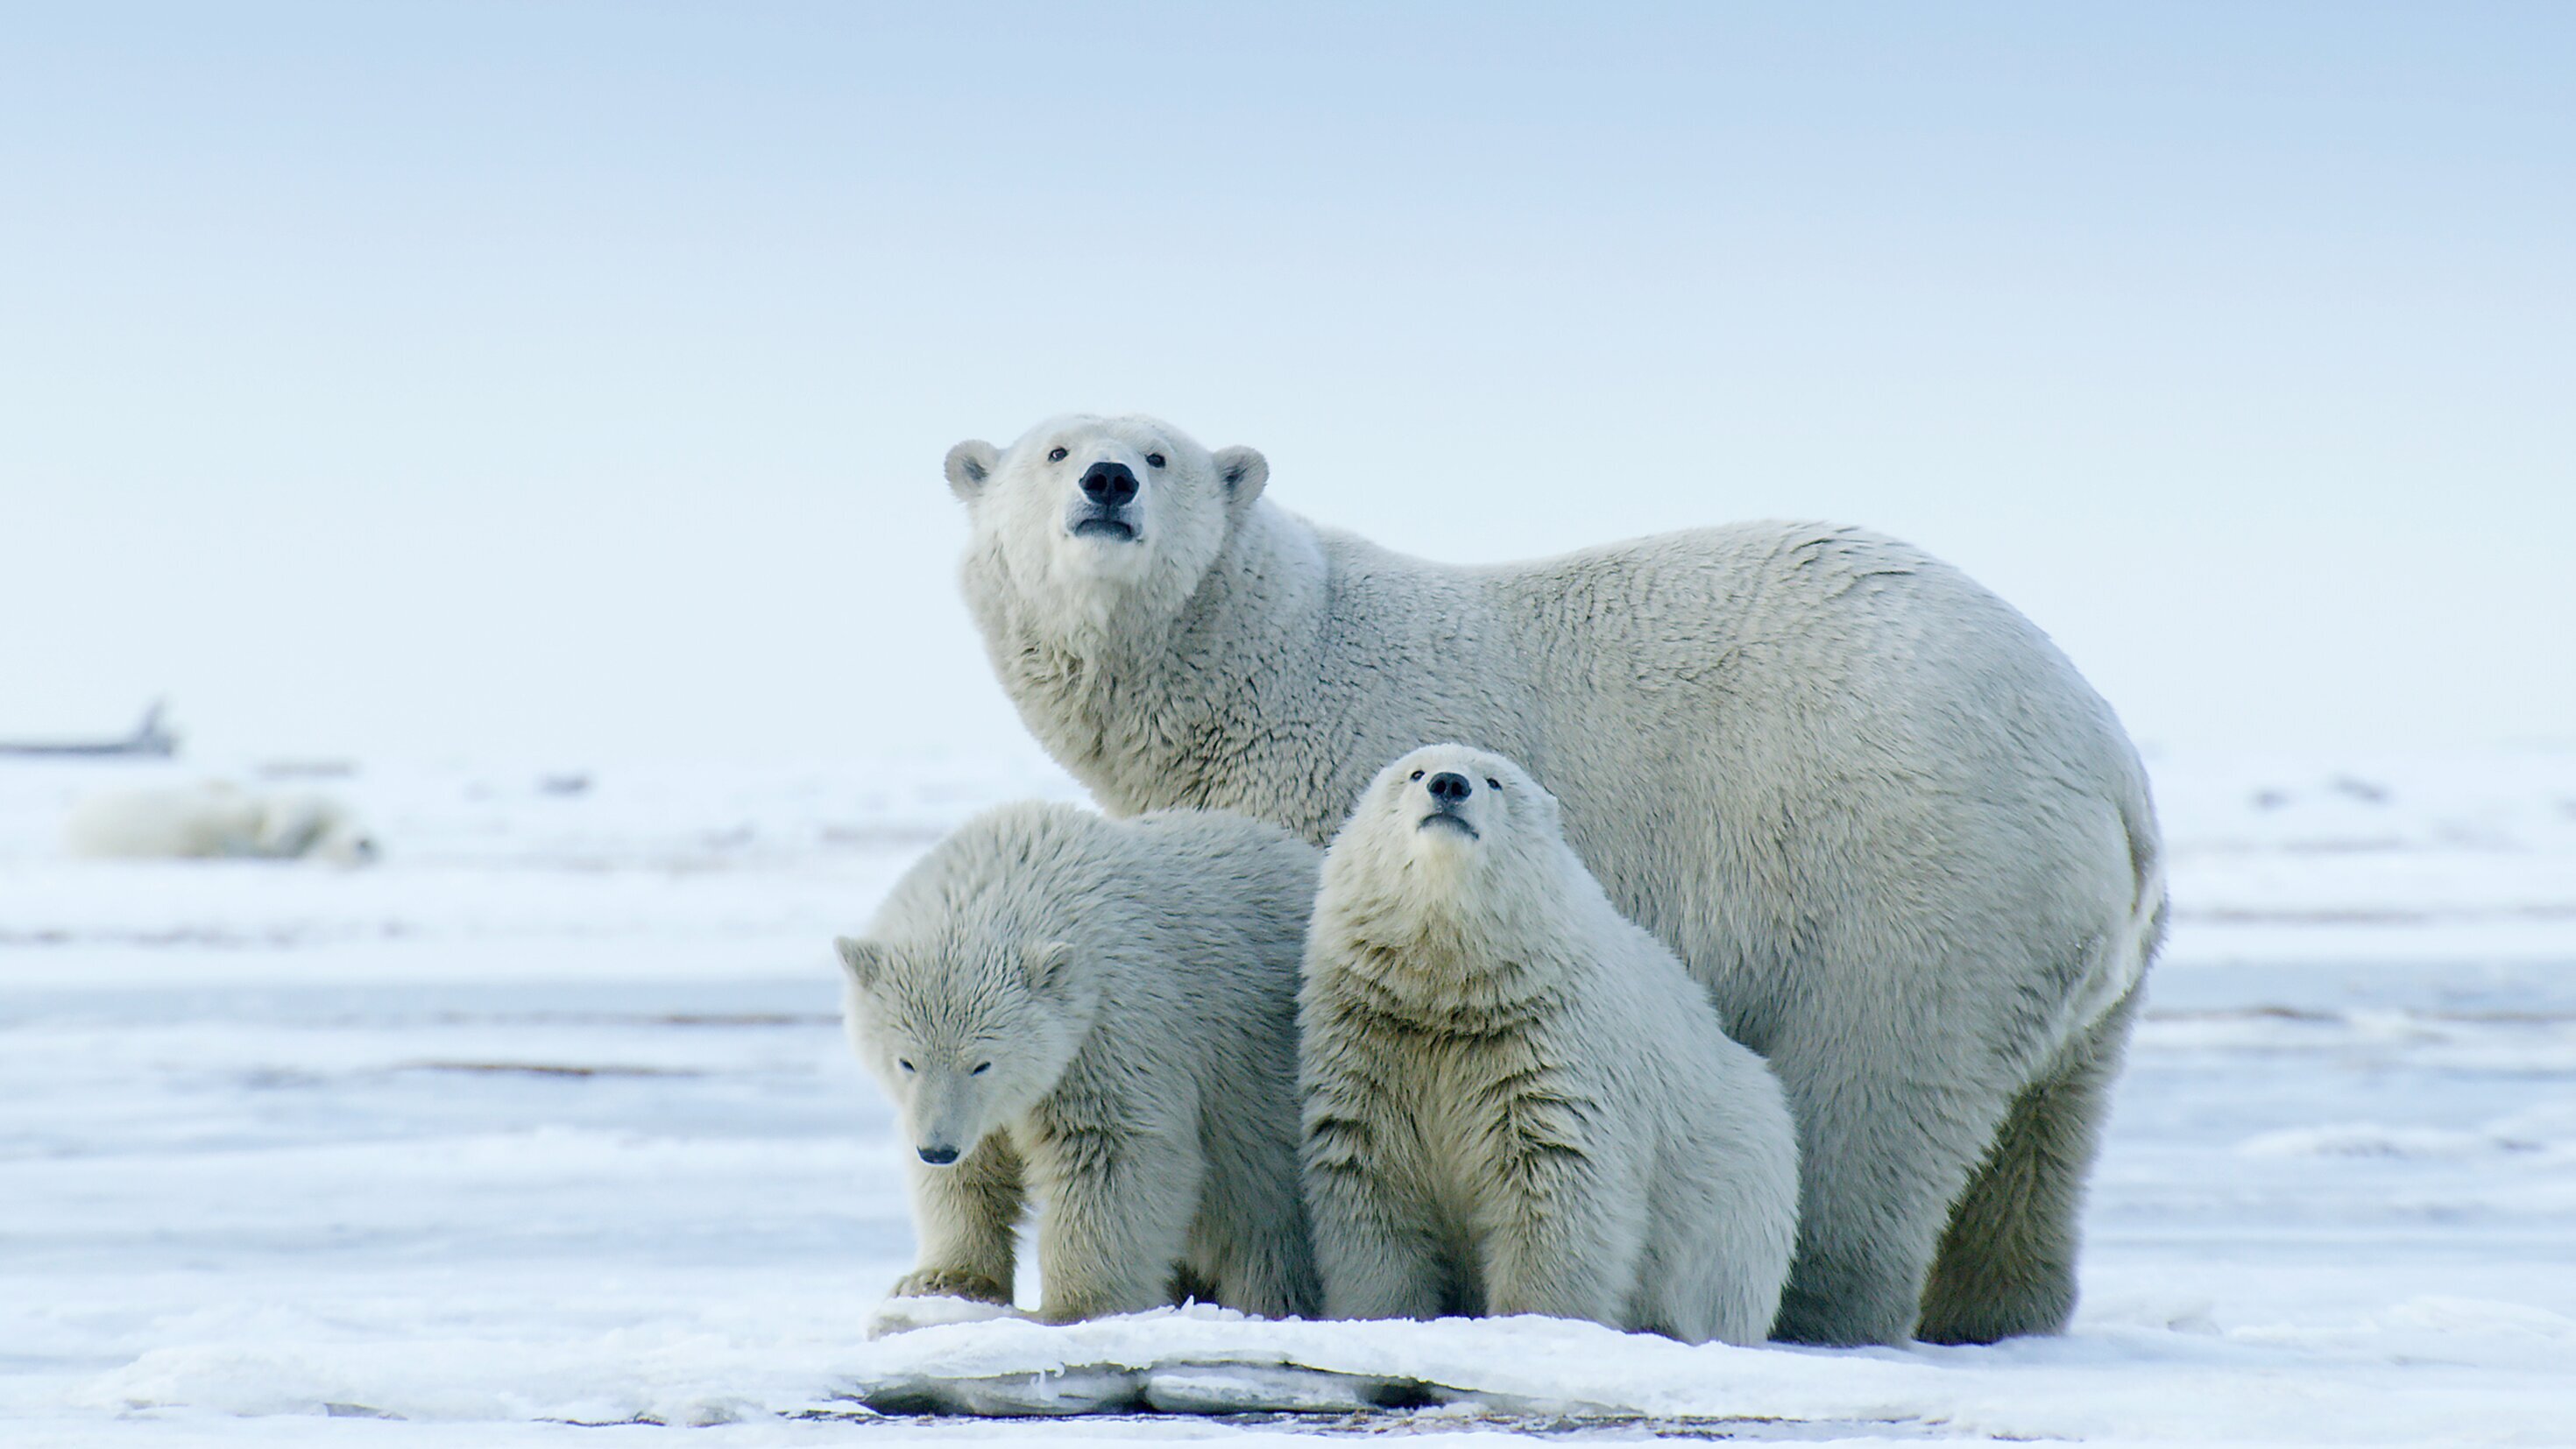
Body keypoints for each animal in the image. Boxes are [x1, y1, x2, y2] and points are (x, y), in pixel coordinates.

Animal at [943, 413, 2153, 1348]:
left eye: (1159, 452)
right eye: (1055, 449)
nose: (1107, 483)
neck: (1261, 658)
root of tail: (2110, 766)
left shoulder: (1320, 807)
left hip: (1912, 877)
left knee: (1869, 1091)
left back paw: (1818, 1309)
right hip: (2078, 960)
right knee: (2043, 1138)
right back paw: (1999, 1311)